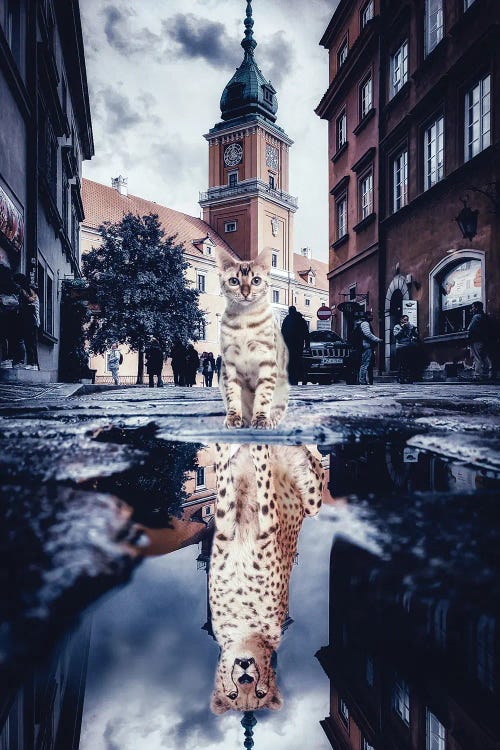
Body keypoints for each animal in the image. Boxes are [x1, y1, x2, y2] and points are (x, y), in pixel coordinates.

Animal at [216, 248, 290, 428]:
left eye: (256, 280)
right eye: (234, 281)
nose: (245, 292)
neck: (244, 320)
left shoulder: (267, 360)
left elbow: (263, 395)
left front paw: (262, 420)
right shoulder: (230, 363)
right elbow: (233, 395)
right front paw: (234, 418)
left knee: (278, 408)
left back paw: (270, 419)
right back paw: (244, 420)